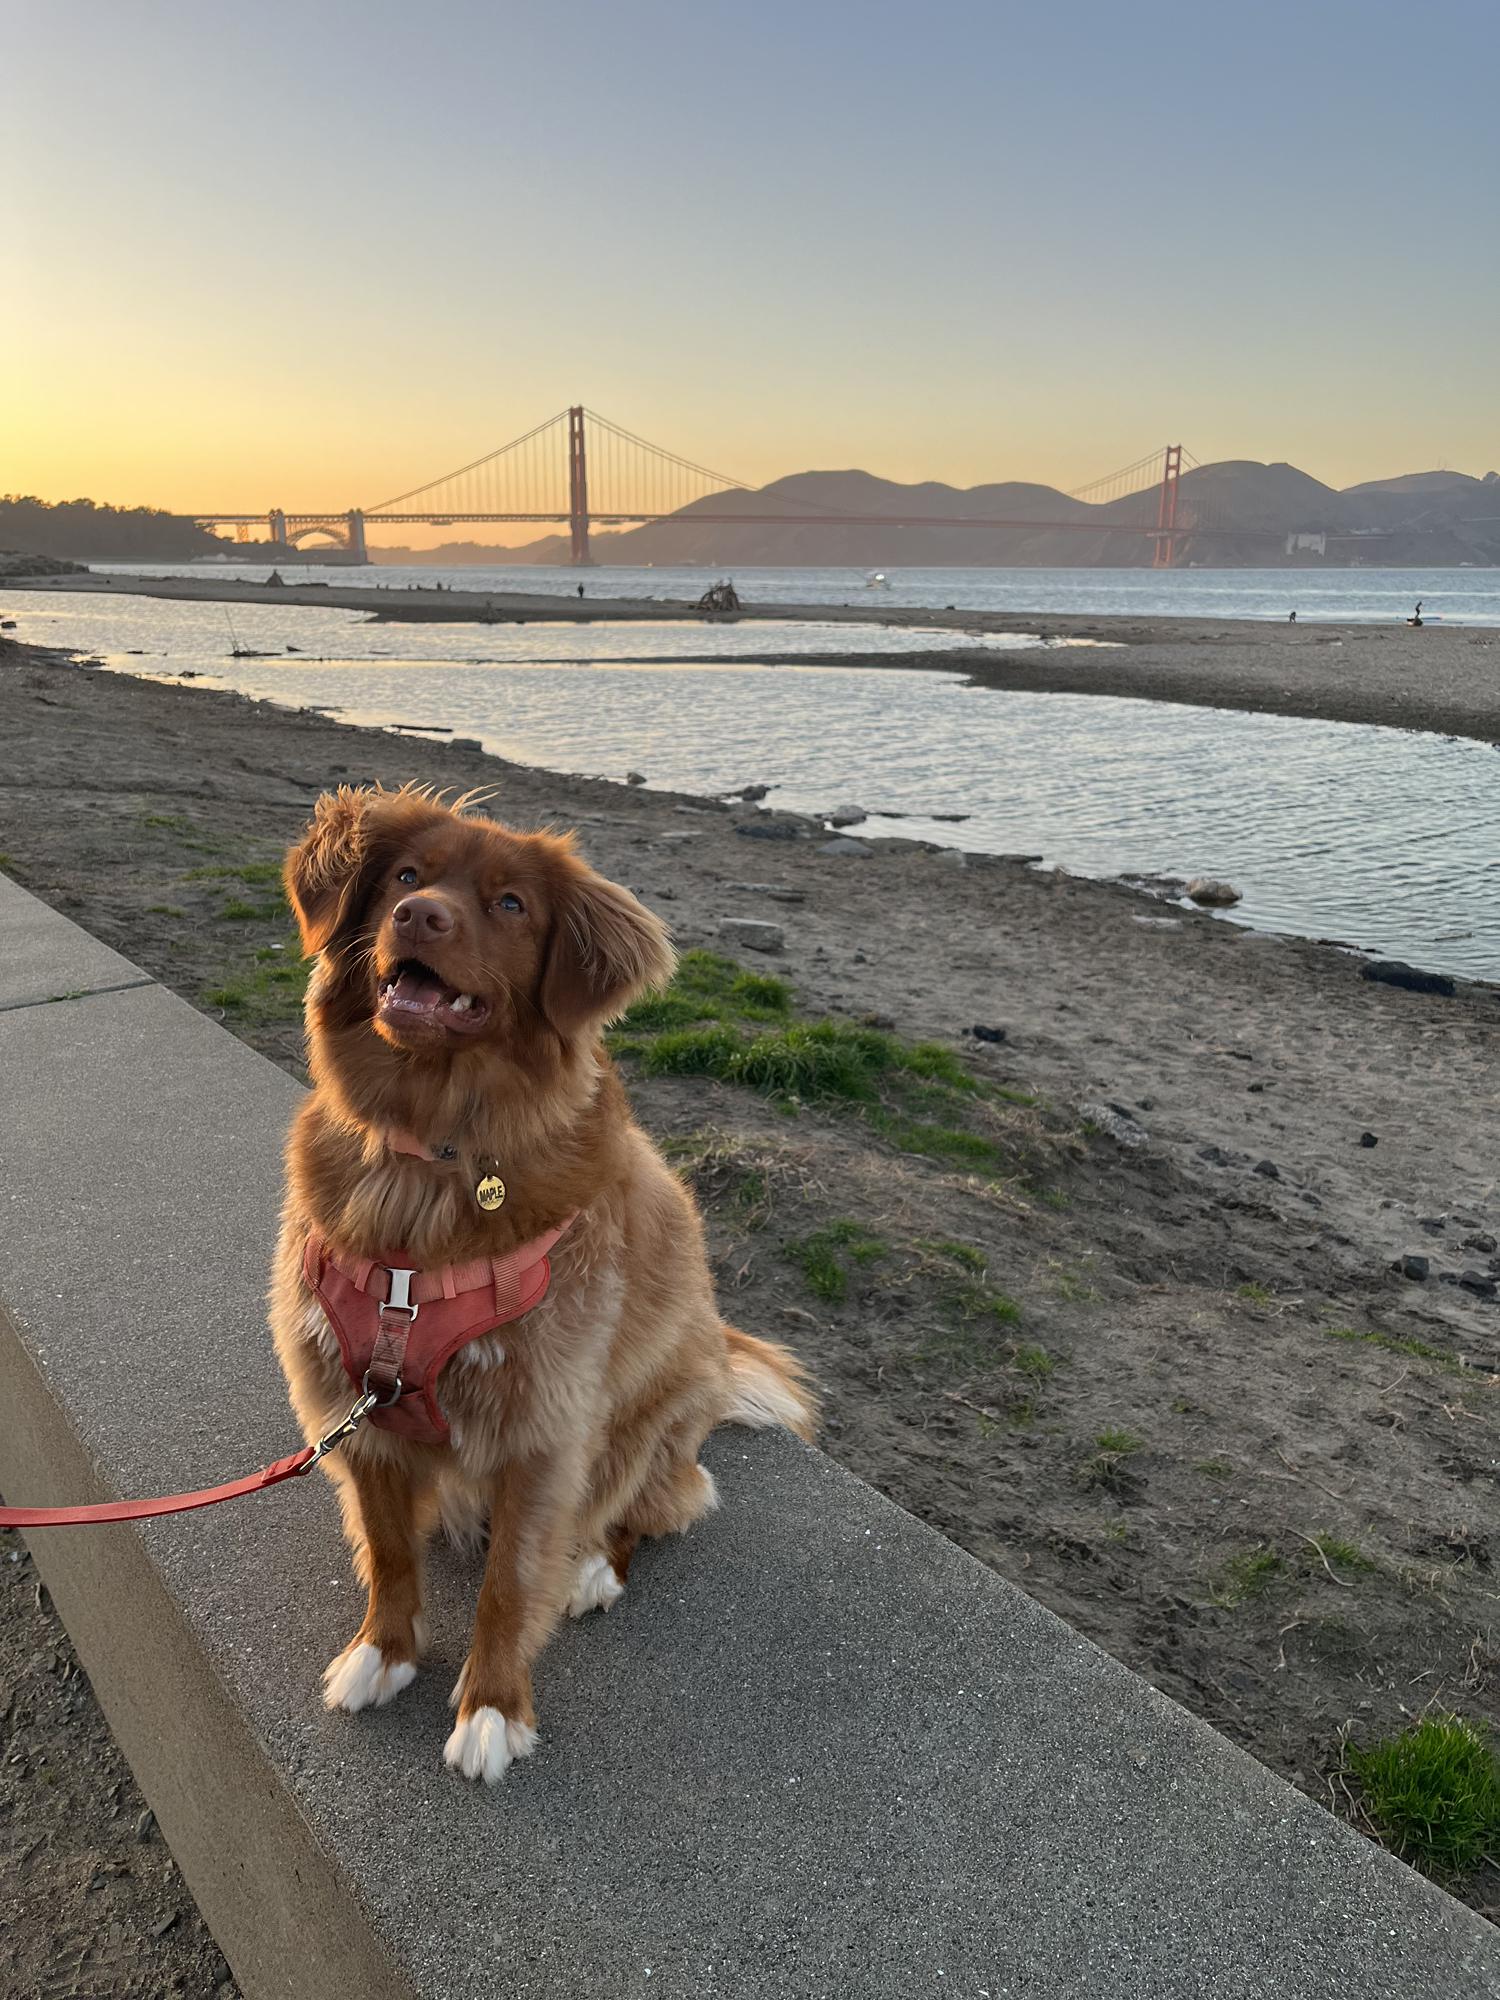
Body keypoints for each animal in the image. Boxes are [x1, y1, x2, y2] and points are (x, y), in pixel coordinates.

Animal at [268, 780, 812, 1784]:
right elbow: (389, 1553)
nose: (419, 915)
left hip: (645, 1426)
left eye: (512, 904)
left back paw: (594, 1567)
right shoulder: (355, 1408)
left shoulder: (544, 1432)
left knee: (649, 1509)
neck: (429, 1159)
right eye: (405, 876)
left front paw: (492, 1709)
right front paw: (383, 1652)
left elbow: (513, 1584)